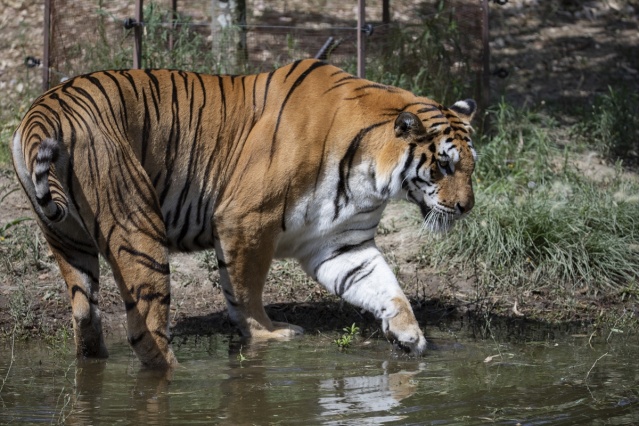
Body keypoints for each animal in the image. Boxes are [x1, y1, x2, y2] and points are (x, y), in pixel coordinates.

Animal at [11, 58, 476, 368]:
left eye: (471, 166)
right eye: (443, 166)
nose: (466, 207)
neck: (370, 173)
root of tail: (45, 106)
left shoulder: (342, 242)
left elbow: (383, 285)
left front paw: (409, 335)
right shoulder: (247, 219)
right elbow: (245, 287)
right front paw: (268, 333)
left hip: (67, 238)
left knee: (84, 315)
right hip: (138, 227)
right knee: (146, 331)